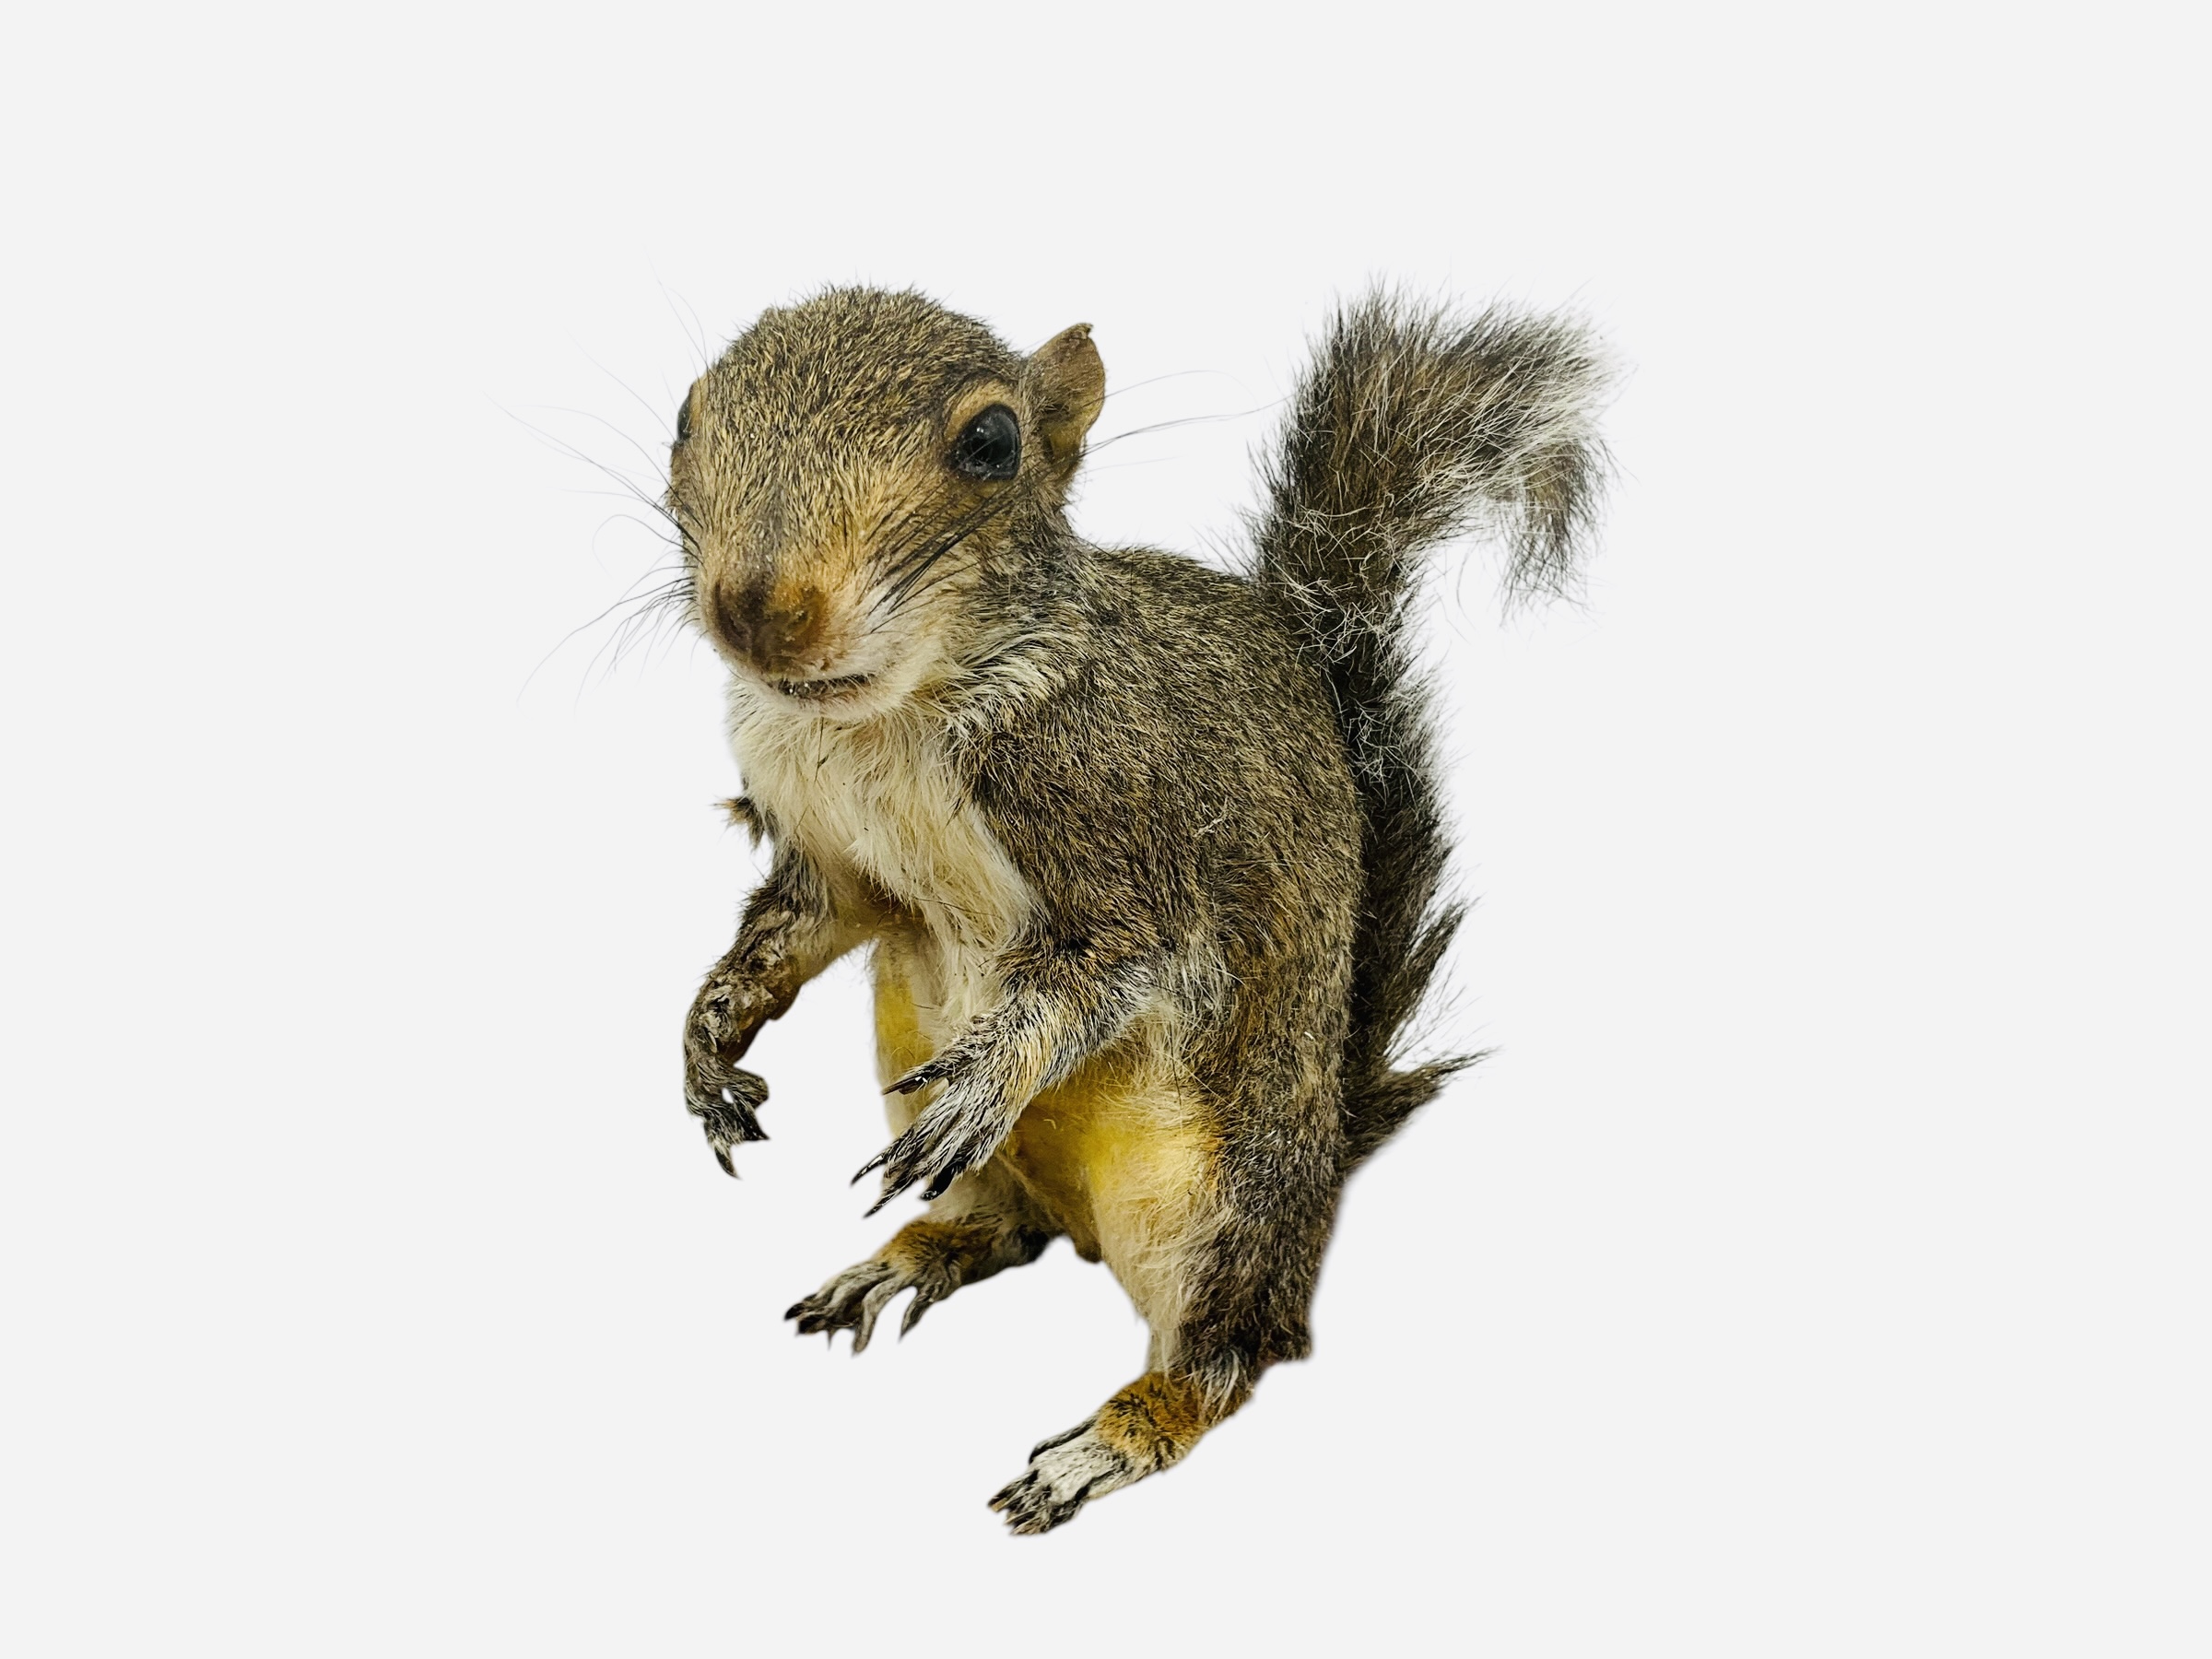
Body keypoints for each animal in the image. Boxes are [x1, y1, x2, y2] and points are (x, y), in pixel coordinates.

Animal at [666, 286, 1614, 1533]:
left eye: (991, 442)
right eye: (685, 418)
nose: (758, 610)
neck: (888, 719)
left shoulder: (1141, 841)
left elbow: (1113, 968)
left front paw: (989, 1077)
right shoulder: (831, 859)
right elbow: (790, 931)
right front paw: (706, 1041)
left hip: (1218, 1207)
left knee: (1230, 1354)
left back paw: (1110, 1440)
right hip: (923, 1073)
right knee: (1001, 1227)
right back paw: (902, 1259)